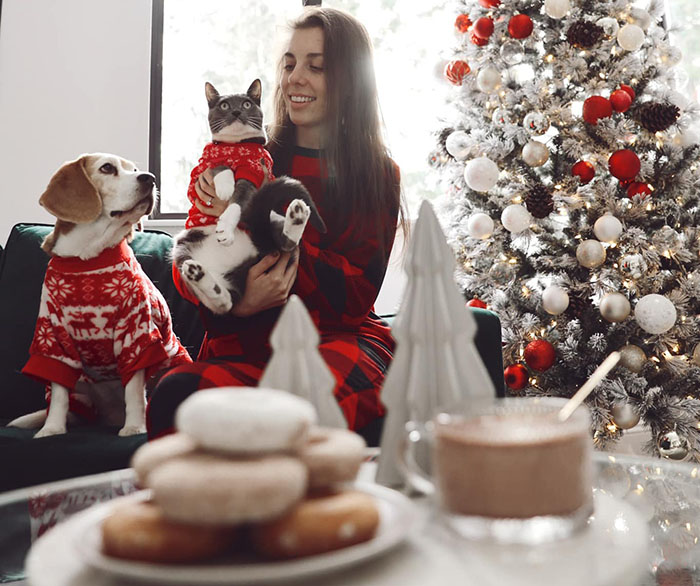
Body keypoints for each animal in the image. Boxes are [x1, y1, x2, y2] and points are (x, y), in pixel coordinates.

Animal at [7, 153, 191, 436]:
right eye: (107, 168)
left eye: (134, 170)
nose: (150, 178)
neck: (88, 257)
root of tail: (109, 417)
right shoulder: (54, 335)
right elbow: (58, 393)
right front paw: (52, 430)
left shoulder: (135, 332)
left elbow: (134, 390)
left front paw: (134, 427)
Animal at [175, 79, 328, 314]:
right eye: (224, 105)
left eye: (247, 104)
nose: (237, 111)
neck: (236, 146)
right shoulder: (202, 167)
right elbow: (219, 166)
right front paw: (225, 185)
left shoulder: (253, 172)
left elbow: (239, 200)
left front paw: (225, 226)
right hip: (181, 248)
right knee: (225, 303)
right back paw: (198, 276)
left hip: (272, 219)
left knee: (286, 246)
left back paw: (297, 215)